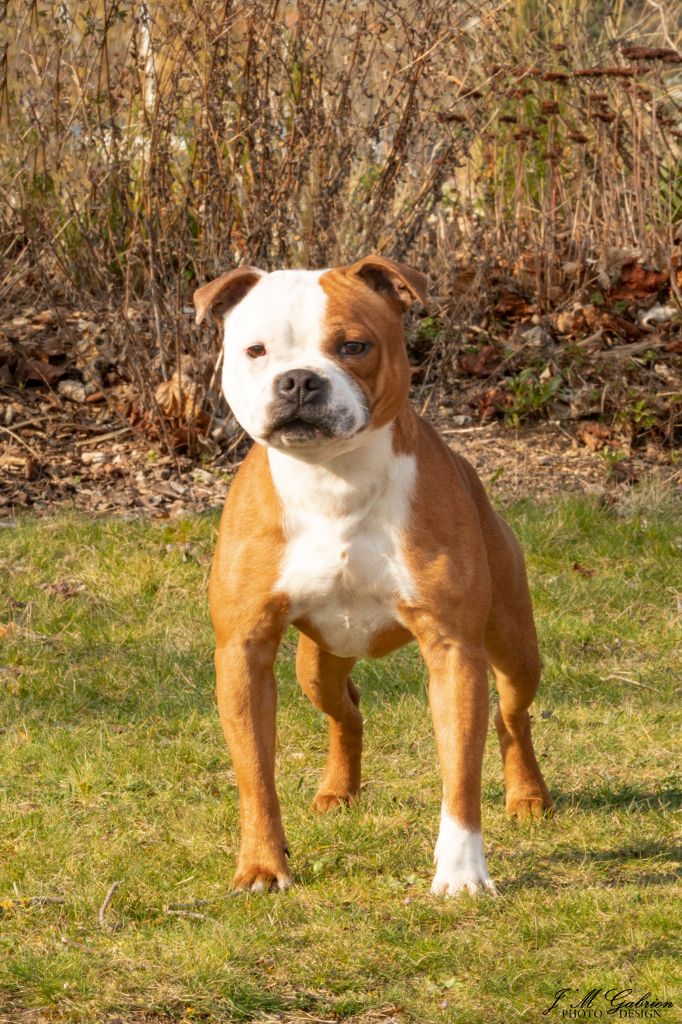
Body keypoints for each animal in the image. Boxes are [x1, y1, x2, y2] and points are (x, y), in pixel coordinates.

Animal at [193, 254, 553, 896]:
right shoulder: (242, 650)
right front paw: (262, 865)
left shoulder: (454, 650)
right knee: (348, 710)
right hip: (317, 666)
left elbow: (461, 771)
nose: (299, 381)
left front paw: (461, 873)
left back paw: (527, 795)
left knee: (511, 716)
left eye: (353, 346)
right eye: (256, 350)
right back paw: (340, 790)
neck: (332, 480)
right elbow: (256, 774)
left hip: (513, 646)